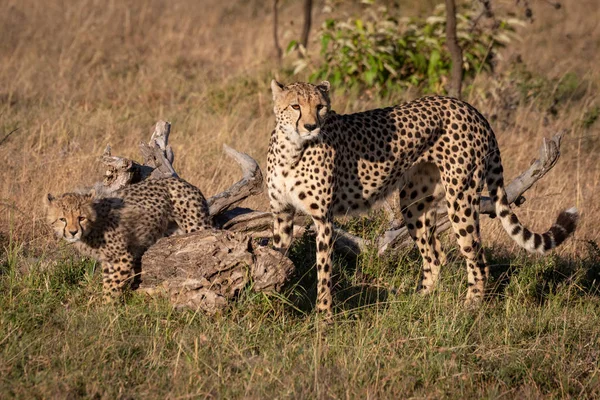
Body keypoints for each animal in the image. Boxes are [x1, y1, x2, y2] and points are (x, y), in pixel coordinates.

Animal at [44, 177, 211, 302]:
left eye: (81, 218)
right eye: (62, 219)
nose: (73, 232)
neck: (94, 225)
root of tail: (185, 182)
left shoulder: (122, 257)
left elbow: (113, 286)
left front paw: (106, 309)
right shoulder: (108, 261)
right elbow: (108, 282)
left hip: (196, 227)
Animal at [268, 80, 576, 318]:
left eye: (320, 106)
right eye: (295, 106)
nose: (311, 126)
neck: (293, 149)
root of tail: (470, 108)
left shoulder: (323, 219)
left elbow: (323, 270)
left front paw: (324, 317)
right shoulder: (282, 214)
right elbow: (275, 258)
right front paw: (270, 302)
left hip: (461, 198)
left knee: (476, 257)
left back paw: (470, 308)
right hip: (413, 202)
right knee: (436, 255)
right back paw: (417, 301)